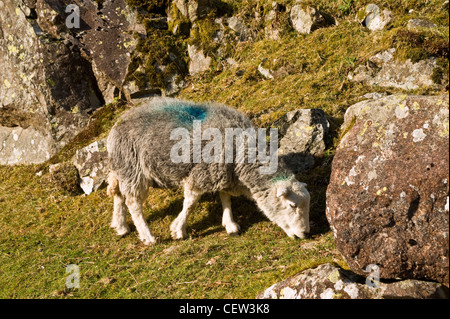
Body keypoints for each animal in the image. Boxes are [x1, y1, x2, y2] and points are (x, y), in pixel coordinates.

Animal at [106, 97, 310, 245]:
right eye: (292, 205)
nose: (306, 233)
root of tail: (116, 125)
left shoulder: (223, 174)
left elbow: (225, 197)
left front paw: (230, 224)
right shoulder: (202, 173)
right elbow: (190, 203)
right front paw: (178, 229)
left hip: (122, 167)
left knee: (117, 192)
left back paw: (120, 225)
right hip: (133, 169)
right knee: (133, 203)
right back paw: (148, 236)